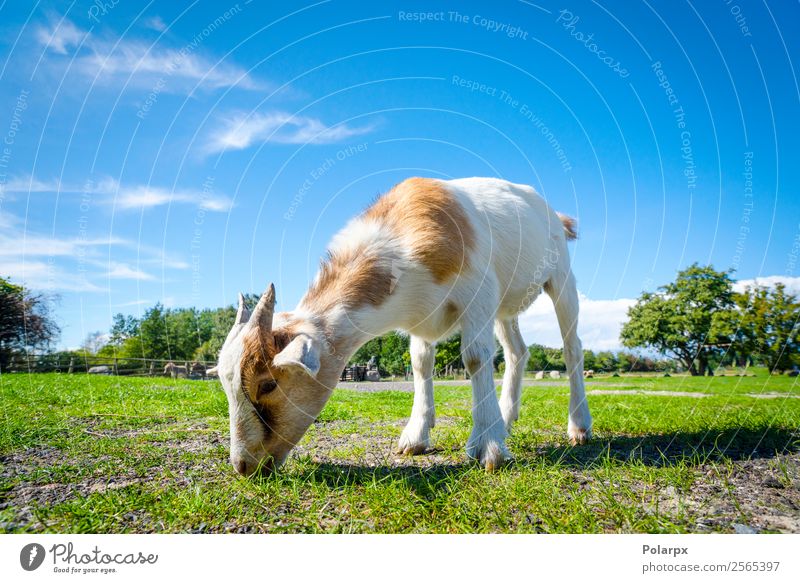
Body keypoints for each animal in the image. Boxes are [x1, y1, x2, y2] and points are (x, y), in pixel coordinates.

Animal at [216, 177, 592, 474]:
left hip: (561, 278)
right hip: (505, 308)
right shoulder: (421, 317)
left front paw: (489, 448)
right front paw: (415, 436)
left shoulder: (479, 295)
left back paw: (578, 427)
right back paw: (507, 416)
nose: (243, 466)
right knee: (517, 351)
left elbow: (475, 358)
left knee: (572, 347)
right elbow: (420, 363)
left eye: (267, 385)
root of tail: (555, 216)